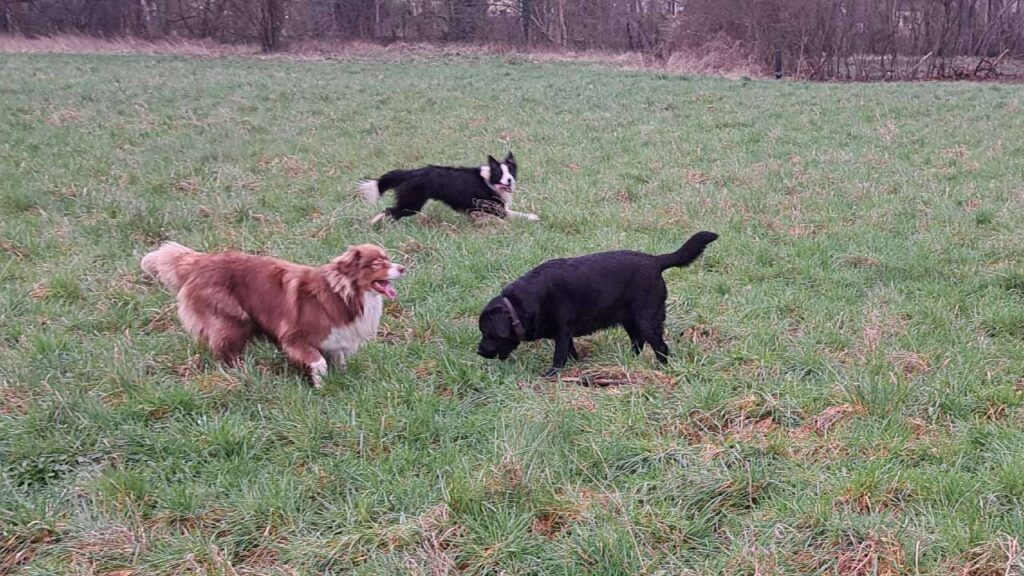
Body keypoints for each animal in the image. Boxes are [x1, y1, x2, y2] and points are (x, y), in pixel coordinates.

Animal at [142, 240, 405, 385]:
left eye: (388, 258)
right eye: (376, 264)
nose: (403, 267)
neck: (343, 293)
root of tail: (200, 261)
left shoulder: (337, 339)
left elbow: (338, 360)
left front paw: (342, 378)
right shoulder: (294, 337)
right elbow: (318, 362)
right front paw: (321, 386)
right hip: (232, 320)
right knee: (225, 351)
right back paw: (242, 374)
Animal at [360, 151, 540, 223]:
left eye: (511, 172)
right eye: (500, 173)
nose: (510, 180)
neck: (489, 180)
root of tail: (411, 173)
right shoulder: (494, 207)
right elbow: (514, 214)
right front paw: (532, 217)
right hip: (411, 205)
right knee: (388, 210)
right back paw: (375, 224)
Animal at [475, 230, 716, 375]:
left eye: (487, 332)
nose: (479, 351)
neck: (518, 306)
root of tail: (656, 260)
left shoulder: (562, 331)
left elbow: (559, 357)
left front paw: (551, 376)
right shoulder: (565, 334)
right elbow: (571, 352)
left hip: (646, 318)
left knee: (660, 346)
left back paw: (659, 368)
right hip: (629, 319)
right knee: (638, 342)